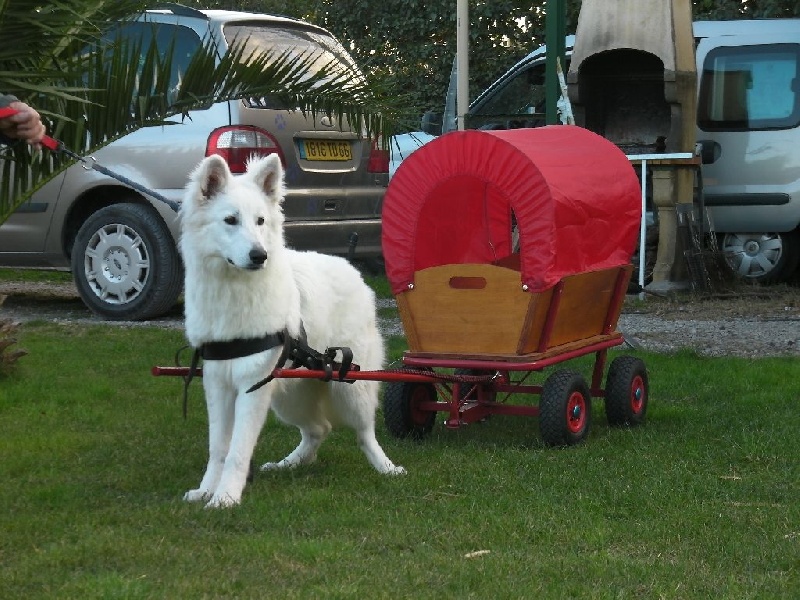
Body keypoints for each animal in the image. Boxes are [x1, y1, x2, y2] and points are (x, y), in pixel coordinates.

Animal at [182, 154, 406, 506]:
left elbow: (238, 449)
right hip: (290, 395)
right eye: (230, 220)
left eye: (260, 221)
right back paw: (290, 463)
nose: (259, 256)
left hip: (350, 388)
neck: (234, 291)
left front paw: (226, 497)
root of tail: (350, 266)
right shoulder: (218, 384)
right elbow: (218, 447)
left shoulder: (252, 386)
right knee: (319, 429)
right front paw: (207, 489)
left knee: (364, 432)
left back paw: (386, 468)